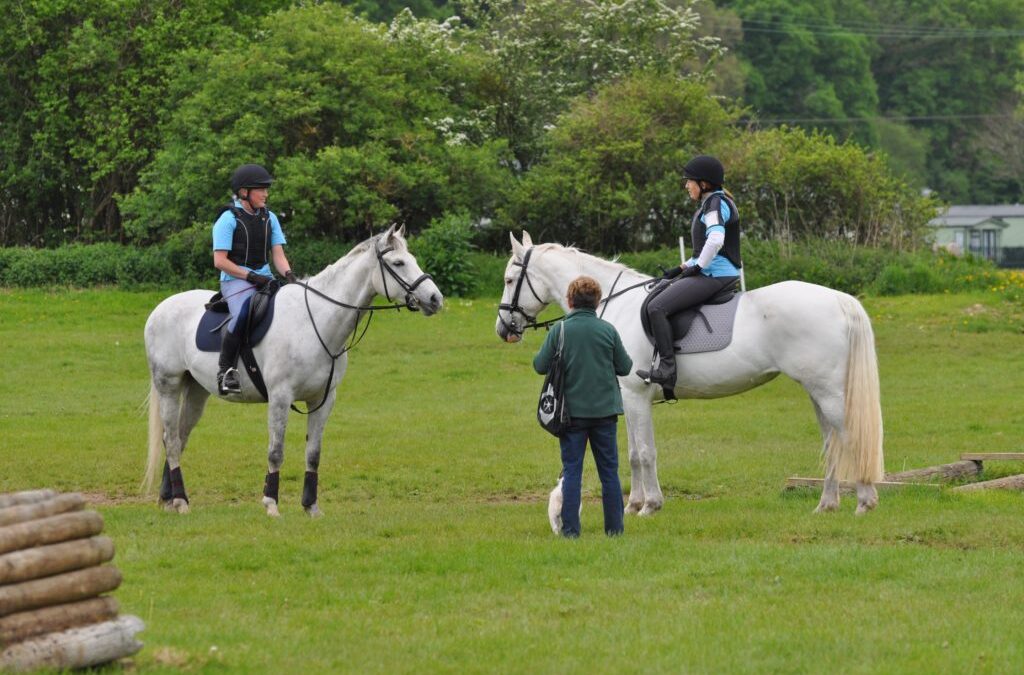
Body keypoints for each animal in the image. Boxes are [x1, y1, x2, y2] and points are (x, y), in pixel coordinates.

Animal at [144, 225, 443, 517]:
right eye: (398, 263)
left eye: (412, 259)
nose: (435, 298)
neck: (315, 322)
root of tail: (160, 308)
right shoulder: (280, 397)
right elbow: (276, 451)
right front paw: (271, 504)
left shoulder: (323, 399)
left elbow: (314, 453)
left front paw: (311, 506)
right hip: (169, 385)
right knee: (171, 440)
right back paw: (180, 501)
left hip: (196, 391)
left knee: (179, 437)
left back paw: (170, 499)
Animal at [495, 232, 884, 516]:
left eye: (511, 279)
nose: (503, 329)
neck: (613, 302)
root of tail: (839, 299)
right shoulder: (627, 398)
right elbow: (632, 451)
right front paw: (634, 503)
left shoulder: (636, 396)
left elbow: (644, 452)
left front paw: (650, 506)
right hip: (818, 391)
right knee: (831, 443)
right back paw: (827, 504)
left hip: (829, 392)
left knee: (849, 436)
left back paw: (864, 502)